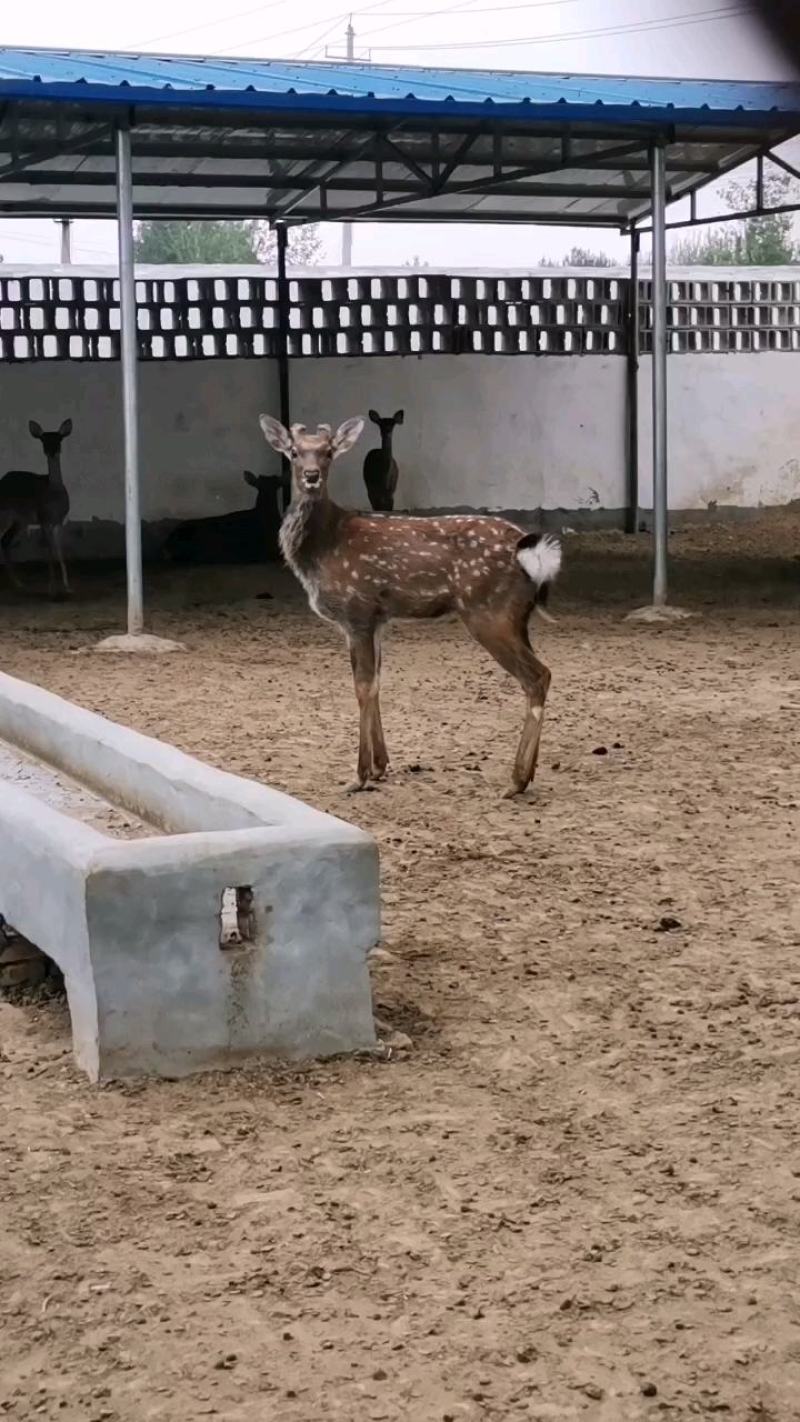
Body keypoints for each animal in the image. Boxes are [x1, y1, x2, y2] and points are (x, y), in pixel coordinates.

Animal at [0, 419, 73, 595]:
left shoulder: (58, 522)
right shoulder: (43, 519)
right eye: (43, 440)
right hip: (5, 515)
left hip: (19, 519)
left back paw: (19, 583)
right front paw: (51, 587)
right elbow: (48, 551)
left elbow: (59, 552)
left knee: (5, 541)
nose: (51, 452)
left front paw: (67, 586)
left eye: (59, 439)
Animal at [260, 415, 561, 798]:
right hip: (517, 617)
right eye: (295, 452)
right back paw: (527, 775)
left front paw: (359, 775)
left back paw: (515, 781)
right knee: (541, 673)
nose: (311, 475)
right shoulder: (377, 619)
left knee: (537, 676)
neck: (322, 550)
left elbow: (362, 686)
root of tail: (530, 551)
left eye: (328, 452)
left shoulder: (357, 610)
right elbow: (376, 683)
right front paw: (380, 766)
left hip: (488, 612)